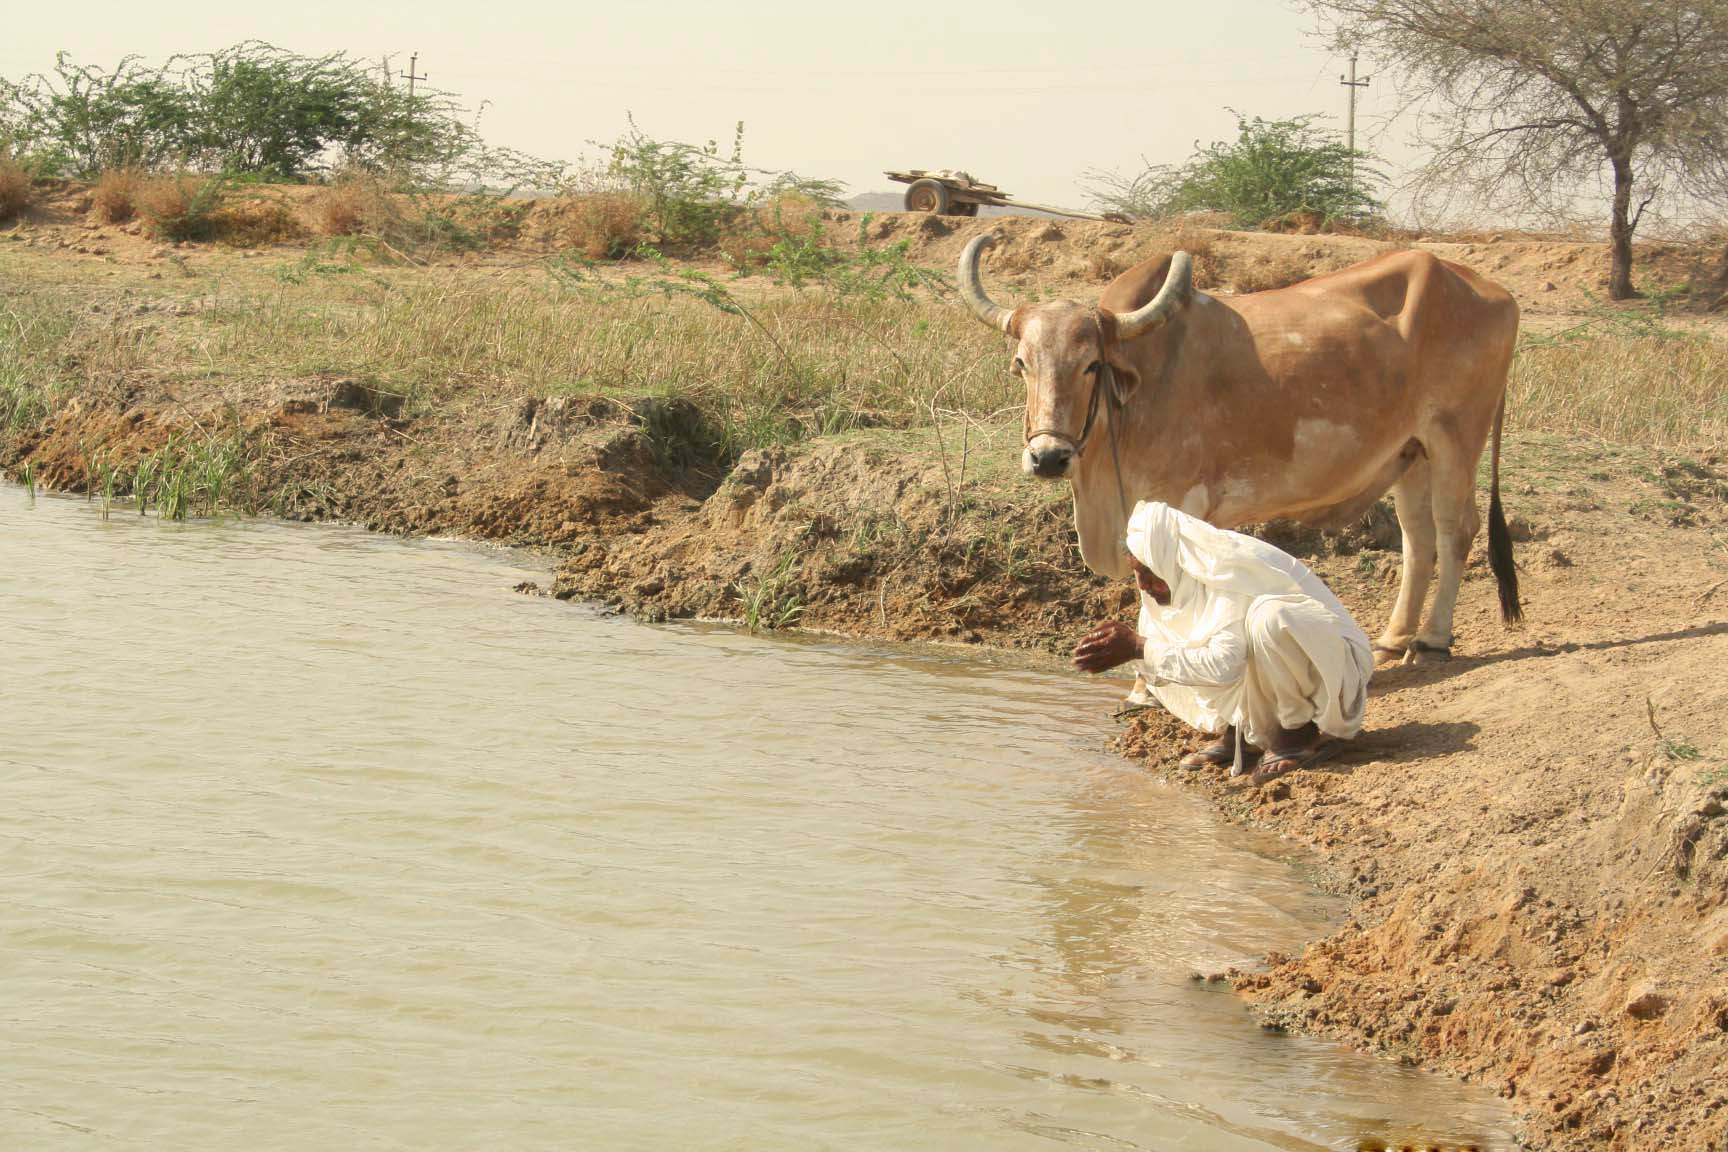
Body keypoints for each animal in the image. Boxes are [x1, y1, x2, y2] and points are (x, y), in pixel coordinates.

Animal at [960, 238, 1527, 663]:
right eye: (1022, 363)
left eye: (1090, 365)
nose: (1048, 458)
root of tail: (1496, 292)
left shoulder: (1180, 504)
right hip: (1413, 452)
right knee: (1417, 539)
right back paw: (1394, 638)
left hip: (1456, 437)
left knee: (1456, 530)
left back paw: (1432, 639)